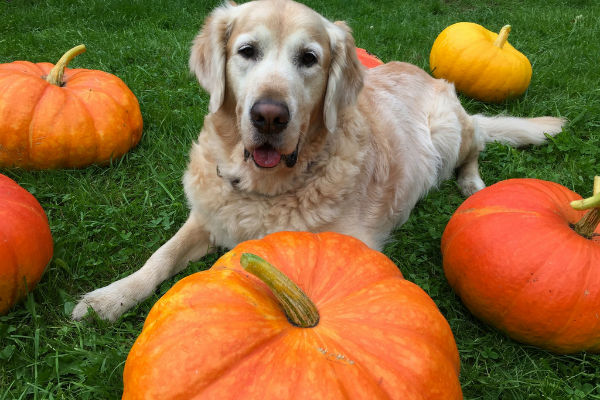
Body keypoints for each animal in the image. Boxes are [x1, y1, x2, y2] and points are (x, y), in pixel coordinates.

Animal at [72, 0, 564, 320]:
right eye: (247, 51)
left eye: (309, 58)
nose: (270, 115)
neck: (267, 188)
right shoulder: (207, 216)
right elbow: (161, 255)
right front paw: (110, 298)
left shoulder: (354, 243)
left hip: (447, 129)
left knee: (475, 146)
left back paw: (471, 185)